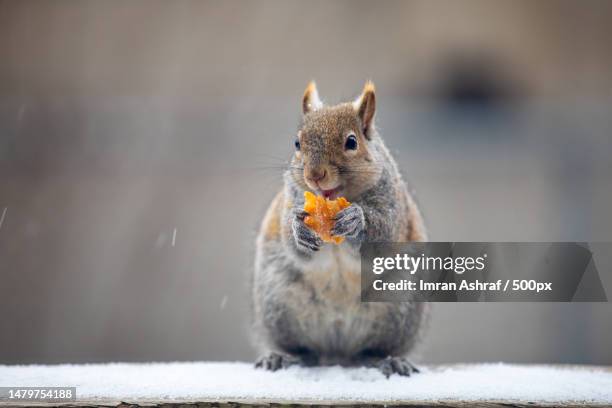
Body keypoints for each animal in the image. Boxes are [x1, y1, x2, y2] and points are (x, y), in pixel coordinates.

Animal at [251, 81, 428, 378]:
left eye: (351, 142)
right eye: (297, 143)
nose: (315, 175)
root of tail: (337, 350)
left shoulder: (393, 208)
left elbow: (382, 236)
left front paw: (356, 220)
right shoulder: (290, 200)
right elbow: (292, 243)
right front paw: (299, 230)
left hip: (398, 309)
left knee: (371, 351)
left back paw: (387, 360)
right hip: (280, 303)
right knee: (304, 351)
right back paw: (284, 357)